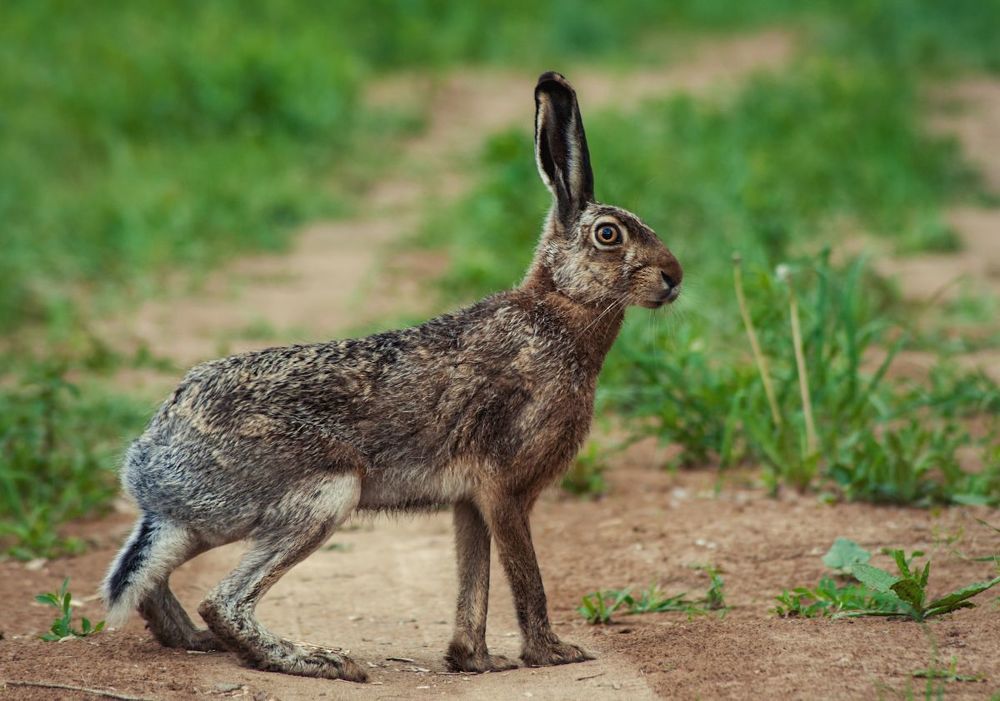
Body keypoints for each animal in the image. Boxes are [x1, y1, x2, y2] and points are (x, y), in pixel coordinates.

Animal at [102, 71, 682, 683]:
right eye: (608, 235)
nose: (675, 277)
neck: (560, 310)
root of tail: (149, 462)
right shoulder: (505, 488)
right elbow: (526, 577)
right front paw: (552, 653)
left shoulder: (470, 501)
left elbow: (473, 579)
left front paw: (474, 660)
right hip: (325, 492)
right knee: (223, 601)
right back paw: (319, 660)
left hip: (213, 522)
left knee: (152, 583)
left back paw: (197, 642)